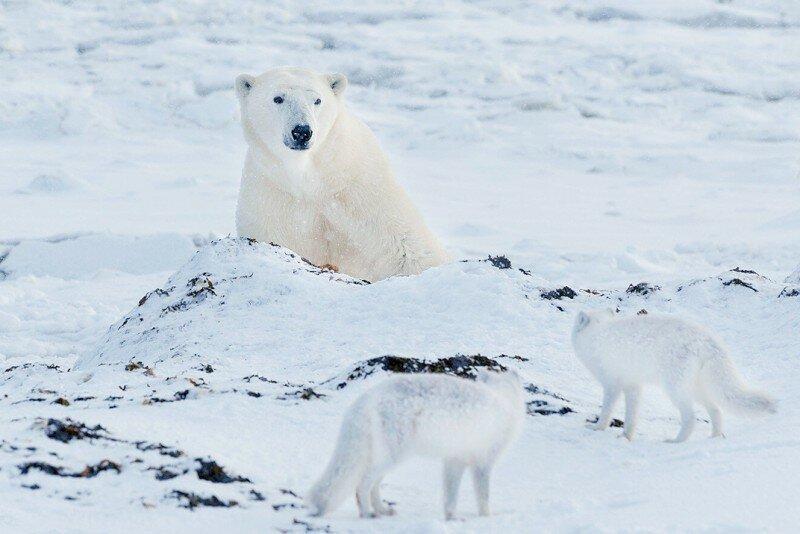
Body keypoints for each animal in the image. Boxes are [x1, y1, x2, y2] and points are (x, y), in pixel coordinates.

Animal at [234, 68, 454, 280]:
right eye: (278, 98)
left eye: (317, 100)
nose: (302, 131)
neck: (309, 177)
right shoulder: (271, 193)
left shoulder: (358, 188)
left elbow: (403, 243)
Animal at [306, 370, 524, 520]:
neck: (503, 398)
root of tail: (363, 401)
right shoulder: (483, 462)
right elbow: (483, 496)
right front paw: (487, 518)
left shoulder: (454, 460)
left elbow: (450, 495)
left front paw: (452, 517)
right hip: (392, 456)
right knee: (363, 485)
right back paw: (367, 513)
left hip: (387, 458)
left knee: (374, 485)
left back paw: (382, 509)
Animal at [572, 310, 780, 444]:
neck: (597, 334)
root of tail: (706, 339)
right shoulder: (633, 385)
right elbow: (632, 415)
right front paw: (626, 437)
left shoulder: (611, 383)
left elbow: (606, 410)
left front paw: (596, 428)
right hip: (697, 387)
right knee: (716, 410)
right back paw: (714, 437)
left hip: (675, 387)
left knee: (691, 417)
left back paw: (676, 441)